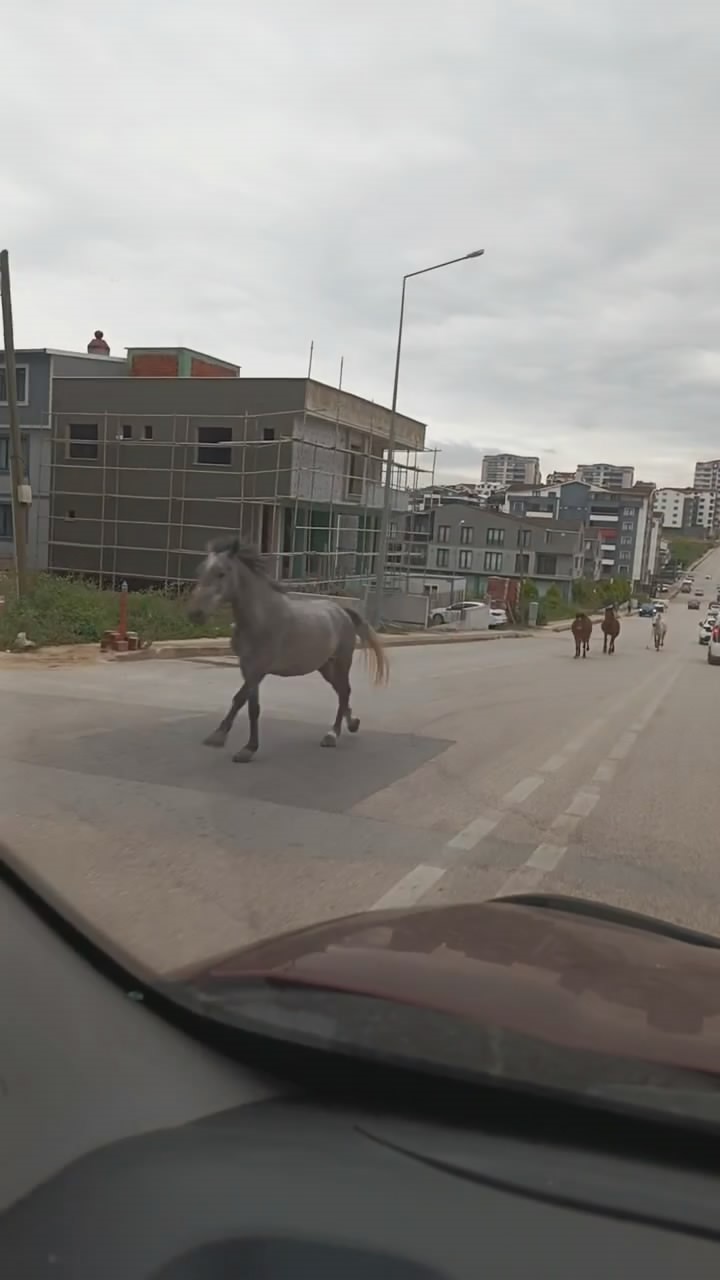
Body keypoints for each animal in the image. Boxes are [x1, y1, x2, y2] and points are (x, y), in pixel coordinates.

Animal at [185, 537, 386, 757]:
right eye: (199, 571)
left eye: (221, 573)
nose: (195, 614)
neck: (261, 619)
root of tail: (341, 611)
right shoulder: (247, 668)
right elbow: (253, 708)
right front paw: (249, 748)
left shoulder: (259, 669)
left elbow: (239, 699)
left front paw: (218, 737)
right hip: (325, 667)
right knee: (342, 691)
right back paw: (352, 724)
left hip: (342, 662)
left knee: (344, 692)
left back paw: (332, 735)